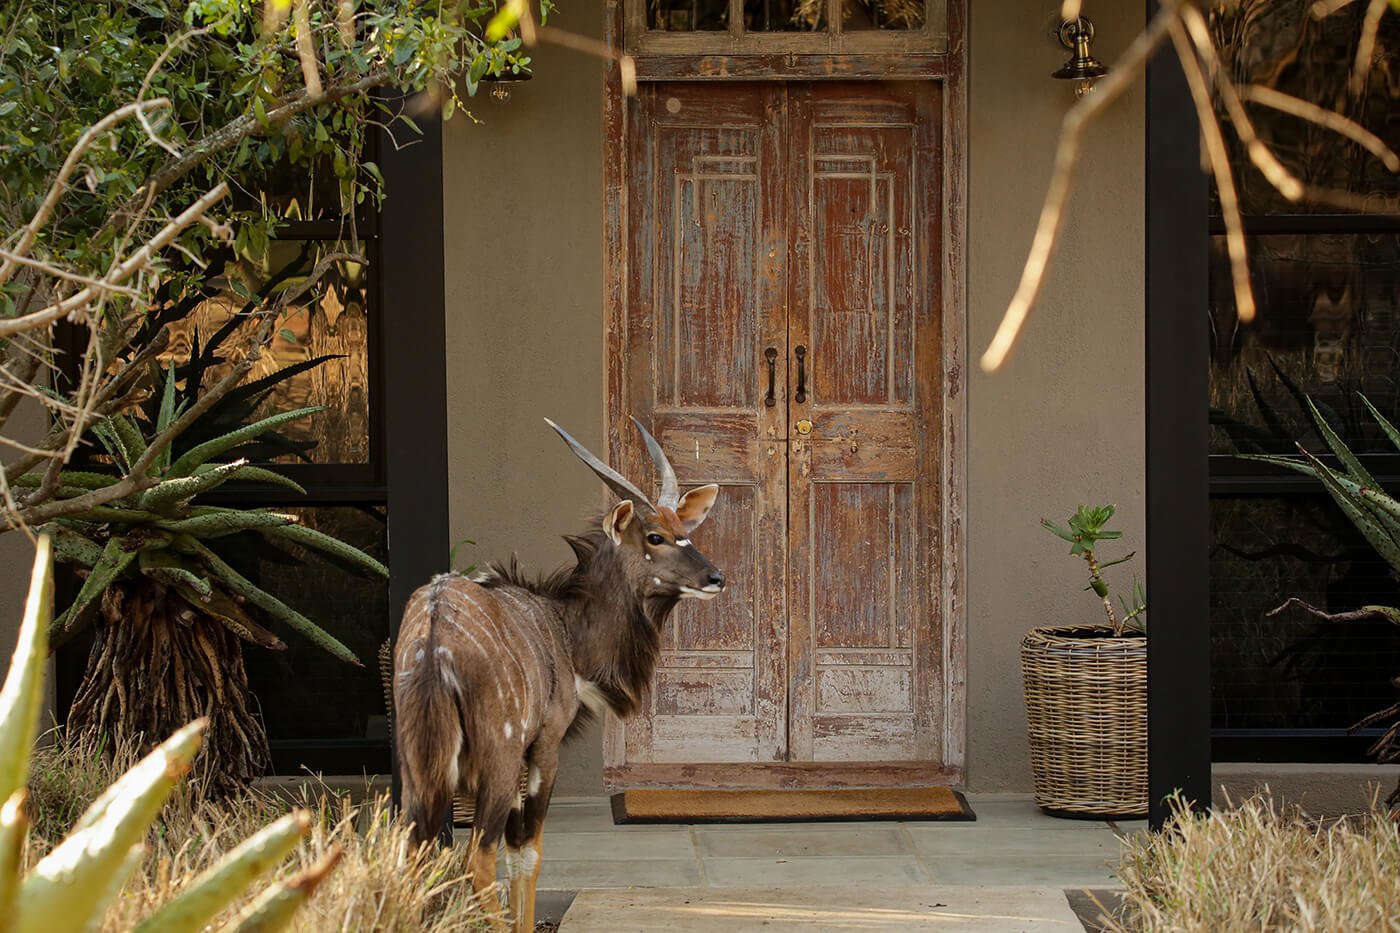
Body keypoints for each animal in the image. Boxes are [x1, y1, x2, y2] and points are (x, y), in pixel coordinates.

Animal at [394, 417, 722, 924]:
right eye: (655, 536)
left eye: (682, 527)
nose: (715, 578)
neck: (564, 630)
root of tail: (434, 636)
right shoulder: (542, 749)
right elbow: (528, 854)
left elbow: (515, 856)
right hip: (496, 762)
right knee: (476, 859)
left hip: (418, 768)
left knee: (413, 855)